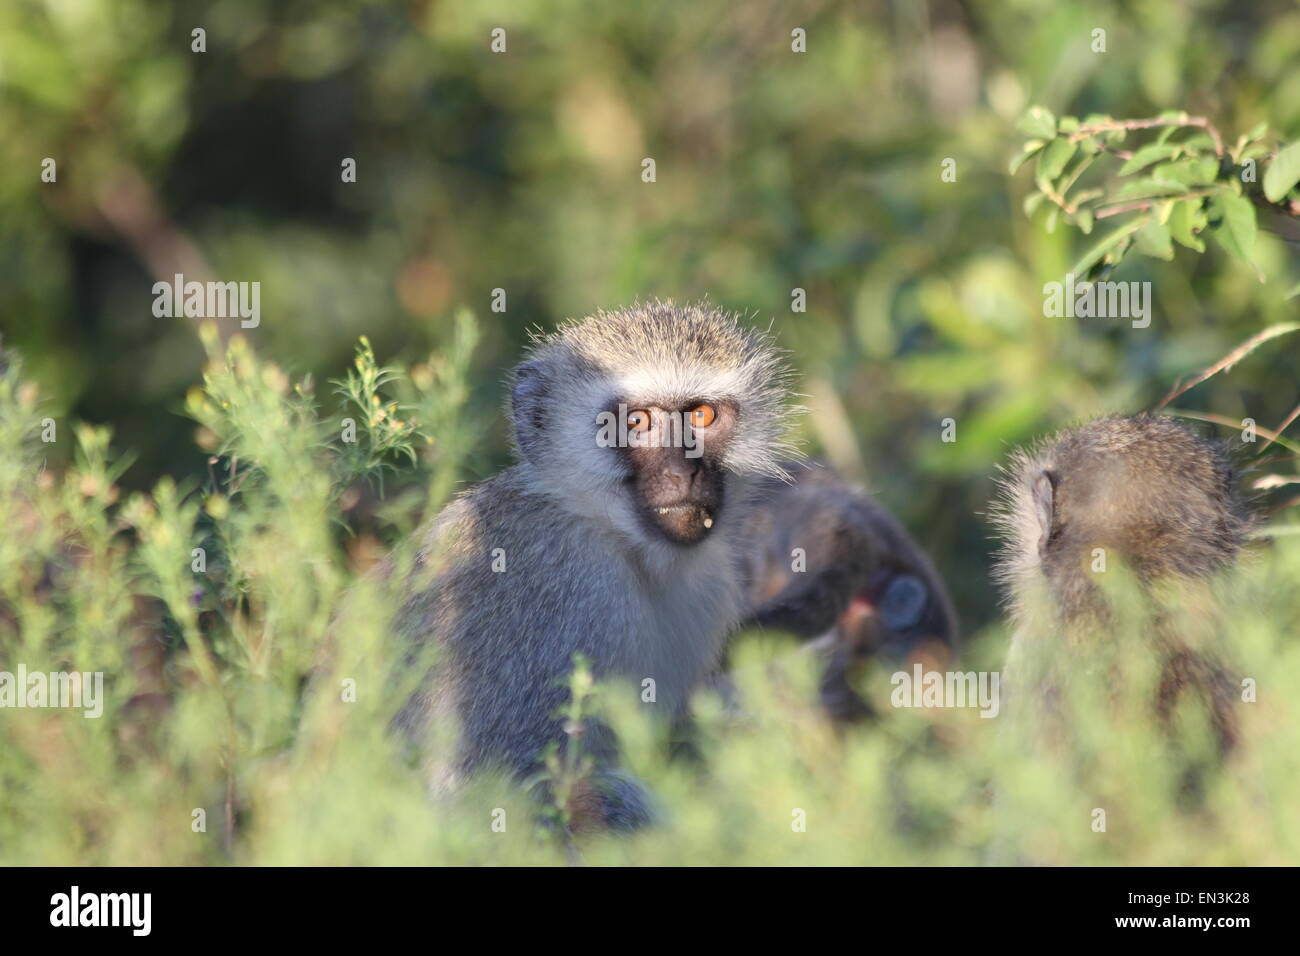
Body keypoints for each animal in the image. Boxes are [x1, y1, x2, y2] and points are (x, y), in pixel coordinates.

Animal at [390, 300, 795, 832]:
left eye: (702, 415)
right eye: (637, 422)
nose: (684, 471)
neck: (624, 544)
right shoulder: (563, 581)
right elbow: (494, 789)